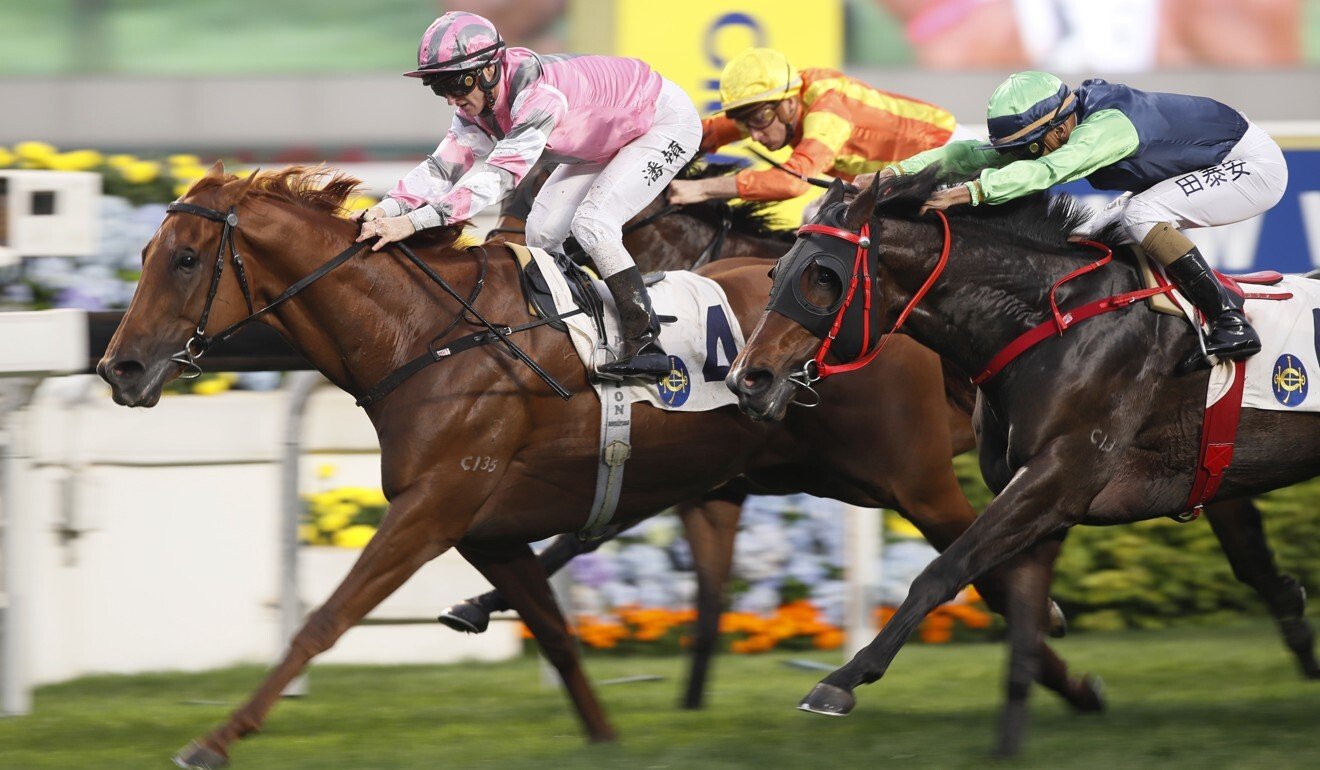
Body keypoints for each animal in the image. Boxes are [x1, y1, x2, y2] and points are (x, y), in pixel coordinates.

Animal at [100, 165, 1092, 766]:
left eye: (183, 259)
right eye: (142, 254)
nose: (120, 367)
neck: (426, 337)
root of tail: (893, 301)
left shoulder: (432, 507)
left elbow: (325, 619)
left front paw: (215, 739)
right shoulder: (489, 530)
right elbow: (558, 635)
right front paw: (606, 736)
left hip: (907, 476)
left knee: (990, 561)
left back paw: (1057, 679)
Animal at [728, 171, 1314, 755]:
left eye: (823, 276)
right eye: (775, 271)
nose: (746, 379)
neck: (1049, 321)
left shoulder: (1060, 475)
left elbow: (944, 571)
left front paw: (841, 680)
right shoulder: (1041, 494)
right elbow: (1019, 611)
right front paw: (1022, 730)